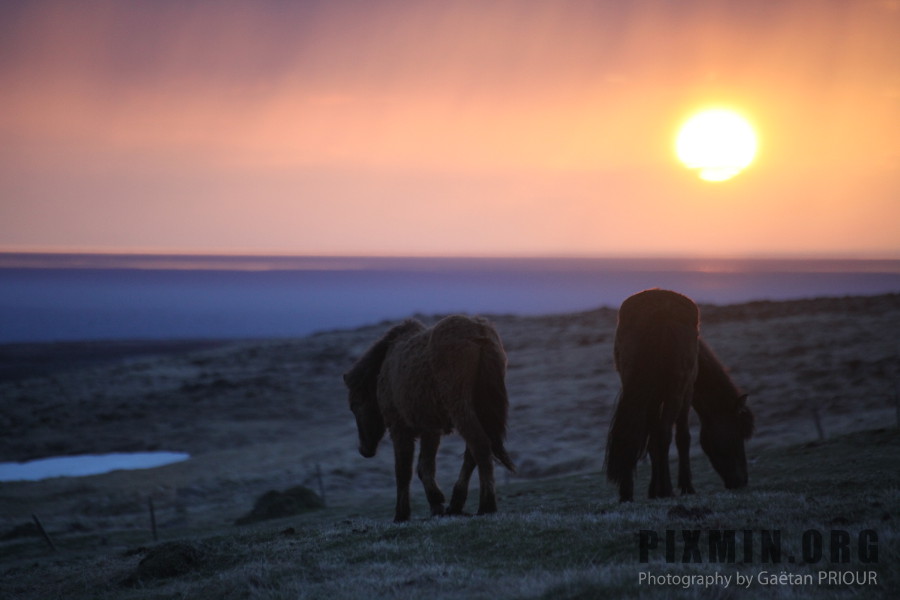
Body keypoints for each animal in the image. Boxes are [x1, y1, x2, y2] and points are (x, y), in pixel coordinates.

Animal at [342, 314, 516, 520]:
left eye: (354, 405)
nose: (364, 449)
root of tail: (478, 332)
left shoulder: (400, 428)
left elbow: (403, 471)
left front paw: (401, 514)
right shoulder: (430, 429)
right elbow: (424, 467)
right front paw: (436, 504)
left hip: (461, 408)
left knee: (479, 446)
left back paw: (486, 505)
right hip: (480, 409)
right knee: (473, 453)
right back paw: (456, 504)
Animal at [604, 290, 760, 502]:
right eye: (738, 434)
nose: (741, 481)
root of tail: (659, 312)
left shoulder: (653, 398)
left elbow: (652, 441)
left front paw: (653, 490)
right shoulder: (686, 392)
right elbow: (682, 437)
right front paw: (685, 487)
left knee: (633, 433)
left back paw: (627, 493)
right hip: (676, 392)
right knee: (665, 434)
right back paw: (667, 490)